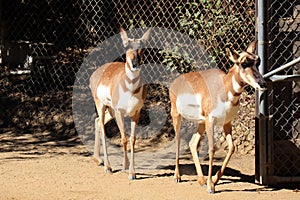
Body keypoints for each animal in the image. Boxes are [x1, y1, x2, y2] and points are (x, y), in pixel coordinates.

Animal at [88, 27, 150, 180]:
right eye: (127, 46)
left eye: (141, 47)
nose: (135, 64)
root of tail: (95, 74)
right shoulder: (120, 113)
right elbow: (123, 138)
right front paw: (127, 169)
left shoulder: (136, 113)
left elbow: (132, 139)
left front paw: (132, 172)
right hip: (102, 106)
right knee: (102, 127)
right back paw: (107, 167)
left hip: (111, 111)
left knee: (98, 121)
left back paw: (98, 159)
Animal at [170, 41, 266, 193]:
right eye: (243, 63)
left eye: (258, 61)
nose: (262, 83)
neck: (224, 87)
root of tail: (175, 82)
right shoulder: (211, 121)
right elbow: (211, 149)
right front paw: (211, 186)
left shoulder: (226, 123)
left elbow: (232, 147)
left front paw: (214, 180)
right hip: (177, 116)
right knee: (179, 141)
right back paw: (178, 177)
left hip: (200, 123)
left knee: (192, 143)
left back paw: (201, 180)